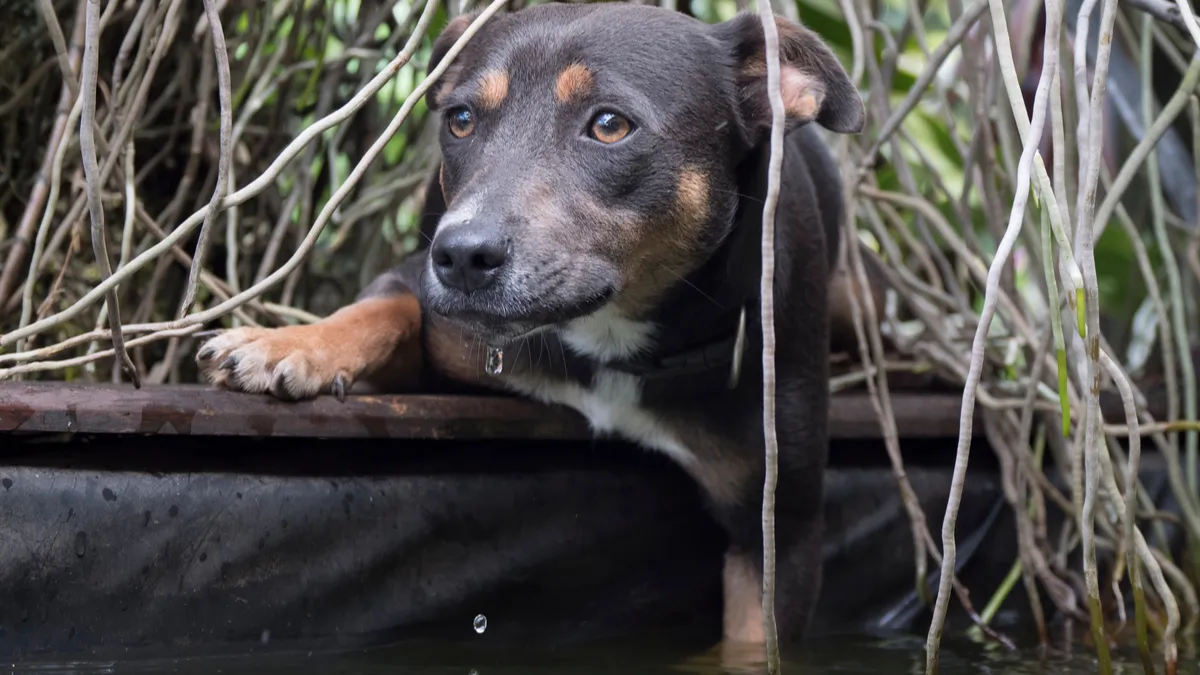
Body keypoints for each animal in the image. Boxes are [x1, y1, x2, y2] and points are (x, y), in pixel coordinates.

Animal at [194, 2, 864, 648]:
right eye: (461, 119)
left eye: (610, 124)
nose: (461, 256)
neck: (609, 340)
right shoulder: (444, 337)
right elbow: (386, 307)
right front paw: (284, 343)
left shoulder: (778, 537)